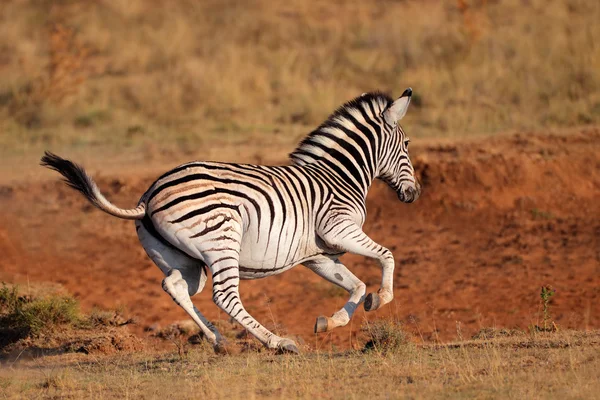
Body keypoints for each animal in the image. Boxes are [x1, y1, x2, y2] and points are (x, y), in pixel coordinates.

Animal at [41, 89, 422, 354]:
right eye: (406, 144)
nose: (414, 194)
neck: (338, 176)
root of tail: (148, 196)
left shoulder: (318, 255)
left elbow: (355, 285)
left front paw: (332, 321)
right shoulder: (339, 228)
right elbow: (387, 255)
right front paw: (382, 298)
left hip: (184, 259)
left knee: (177, 286)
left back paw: (218, 340)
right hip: (222, 239)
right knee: (225, 296)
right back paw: (278, 342)